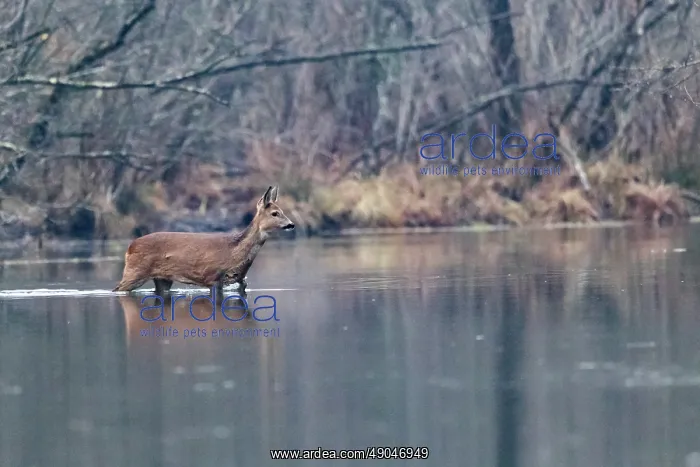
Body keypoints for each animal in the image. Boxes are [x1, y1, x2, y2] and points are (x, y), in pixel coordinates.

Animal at [112, 186, 294, 297]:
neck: (234, 251)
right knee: (117, 289)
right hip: (135, 271)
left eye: (282, 211)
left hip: (163, 278)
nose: (291, 224)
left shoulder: (240, 280)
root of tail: (130, 247)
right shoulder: (213, 277)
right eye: (275, 213)